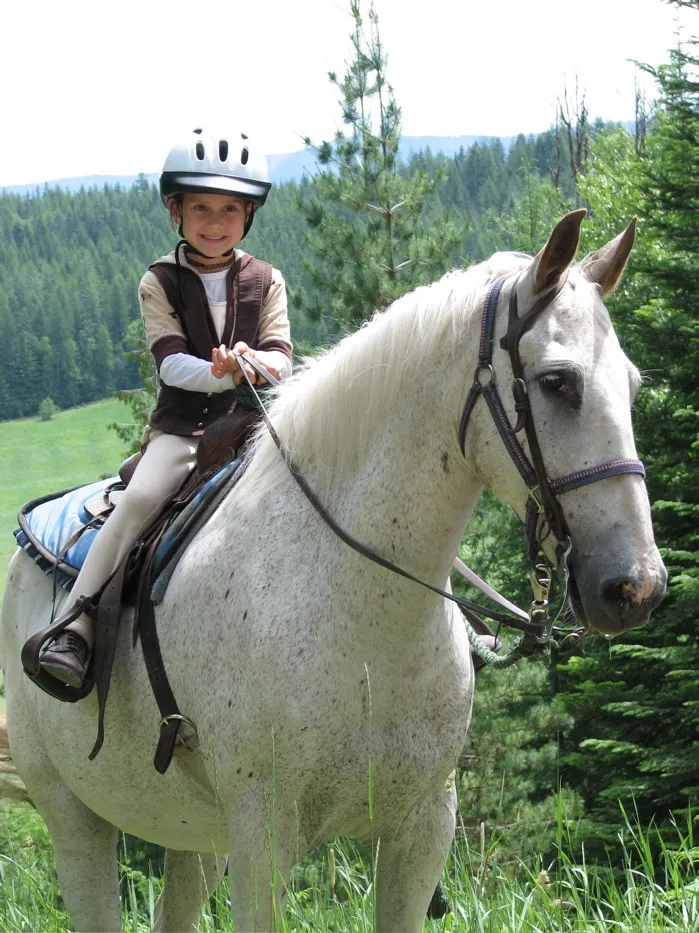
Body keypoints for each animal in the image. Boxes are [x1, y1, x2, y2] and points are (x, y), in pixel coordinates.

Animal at [0, 210, 666, 932]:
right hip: (78, 822)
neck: (366, 621)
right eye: (557, 382)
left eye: (632, 384)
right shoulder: (262, 840)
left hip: (192, 840)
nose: (634, 586)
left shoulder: (420, 828)